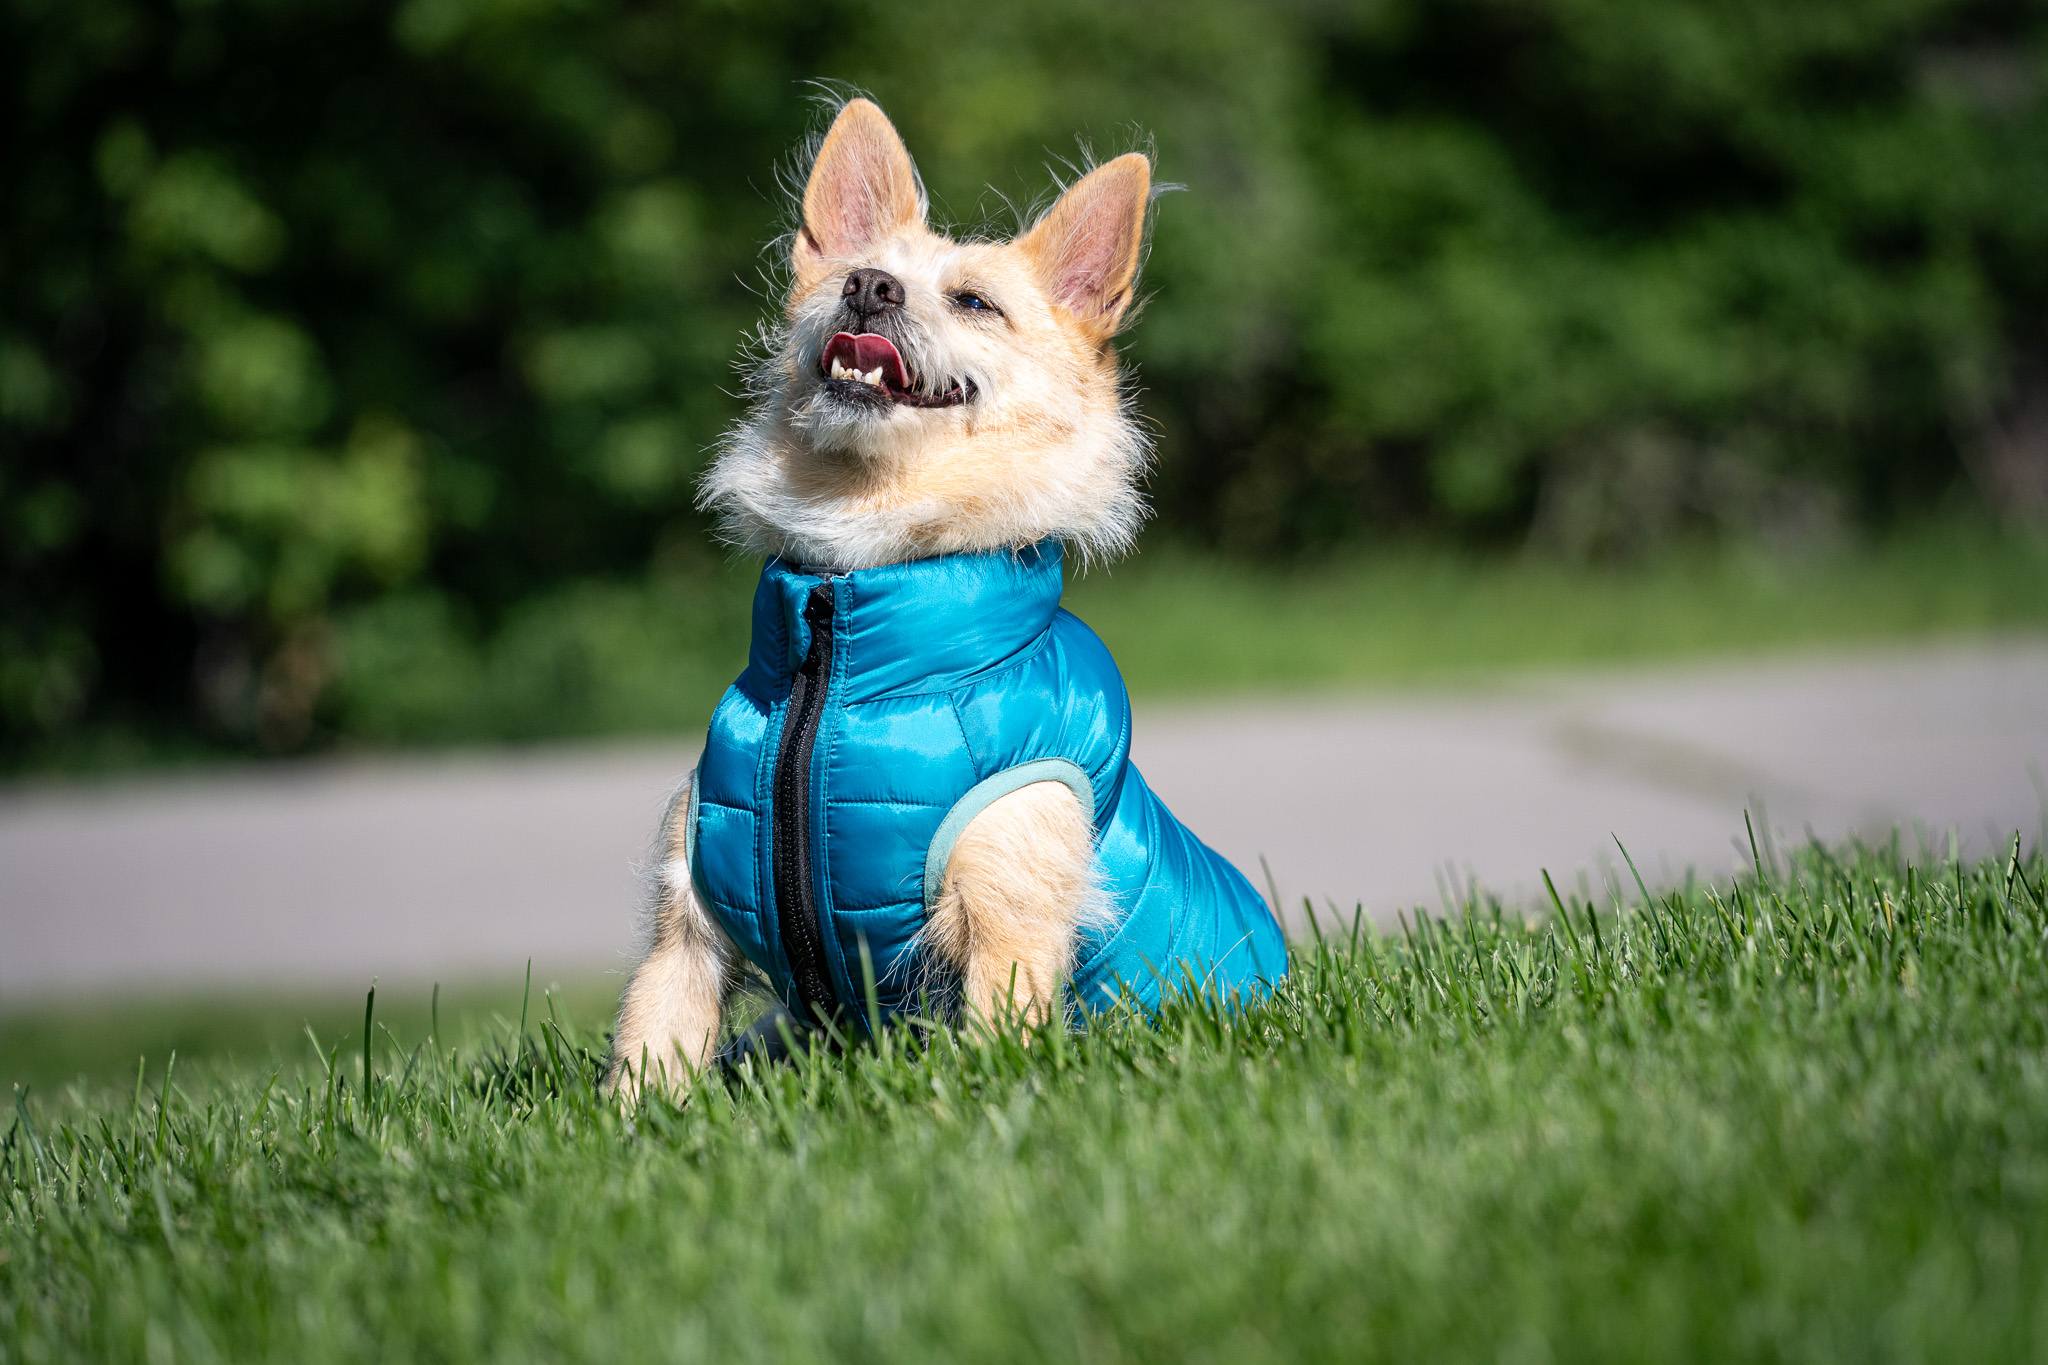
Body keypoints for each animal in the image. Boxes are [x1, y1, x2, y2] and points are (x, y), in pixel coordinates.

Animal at [598, 98, 1286, 1096]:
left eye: (974, 302)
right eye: (845, 271)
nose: (868, 286)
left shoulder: (1009, 916)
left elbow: (994, 1040)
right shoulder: (684, 923)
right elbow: (650, 1053)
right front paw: (639, 1121)